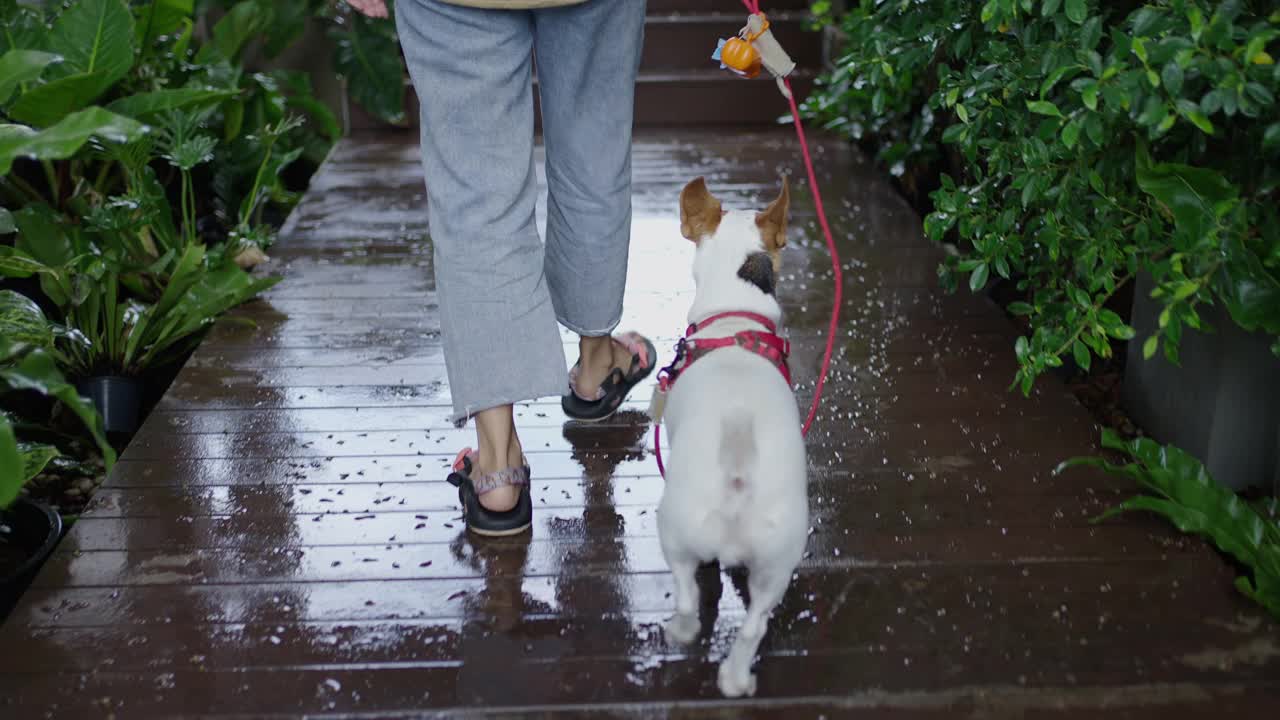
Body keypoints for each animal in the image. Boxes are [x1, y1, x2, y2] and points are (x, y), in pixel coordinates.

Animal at [655, 175, 803, 696]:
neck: (736, 317)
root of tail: (738, 477)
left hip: (674, 530)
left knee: (686, 597)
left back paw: (678, 631)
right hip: (777, 564)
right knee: (755, 624)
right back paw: (737, 678)